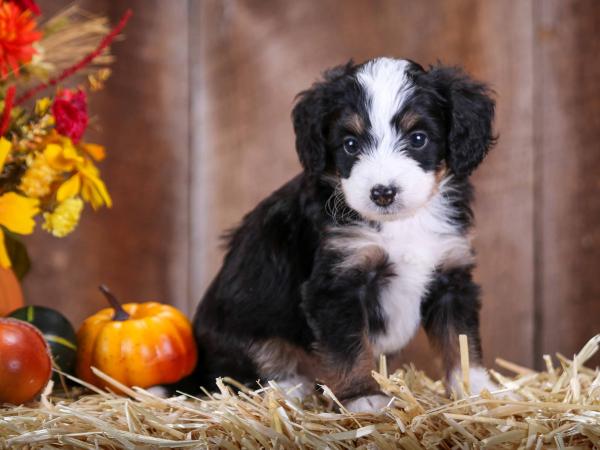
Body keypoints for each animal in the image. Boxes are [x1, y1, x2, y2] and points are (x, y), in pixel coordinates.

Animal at [190, 56, 494, 412]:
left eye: (418, 138)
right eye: (350, 144)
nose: (383, 193)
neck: (401, 224)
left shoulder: (451, 277)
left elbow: (460, 341)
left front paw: (476, 390)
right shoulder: (338, 284)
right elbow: (348, 348)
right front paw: (363, 396)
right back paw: (289, 387)